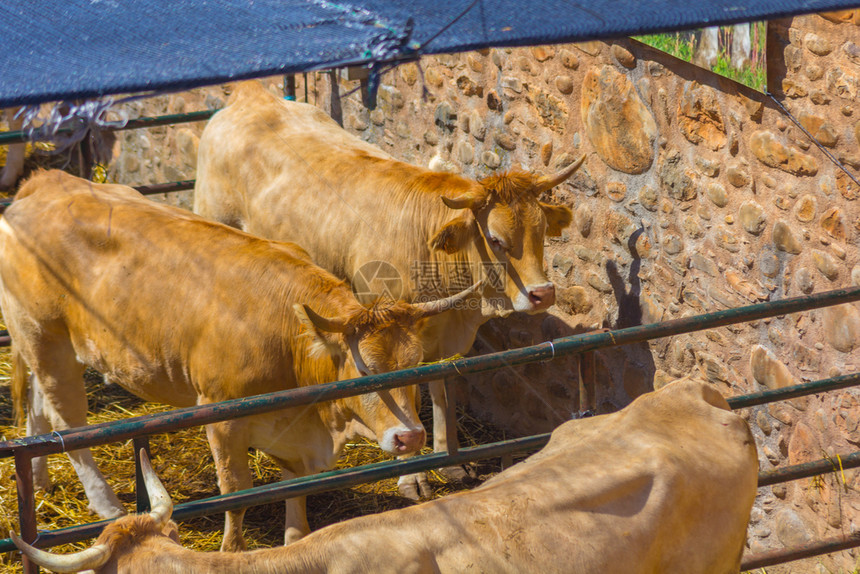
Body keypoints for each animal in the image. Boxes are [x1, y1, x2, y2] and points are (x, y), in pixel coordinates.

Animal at [0, 171, 478, 552]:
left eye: (417, 365)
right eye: (366, 371)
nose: (411, 438)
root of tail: (46, 182)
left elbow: (295, 487)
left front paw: (294, 539)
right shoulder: (221, 416)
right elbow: (236, 491)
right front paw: (232, 550)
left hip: (42, 346)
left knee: (39, 408)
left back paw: (38, 478)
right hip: (46, 340)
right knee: (68, 423)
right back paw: (108, 505)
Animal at [193, 80, 584, 500]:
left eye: (542, 231)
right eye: (495, 239)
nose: (543, 294)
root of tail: (252, 95)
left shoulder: (438, 338)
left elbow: (440, 390)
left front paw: (449, 461)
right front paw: (412, 477)